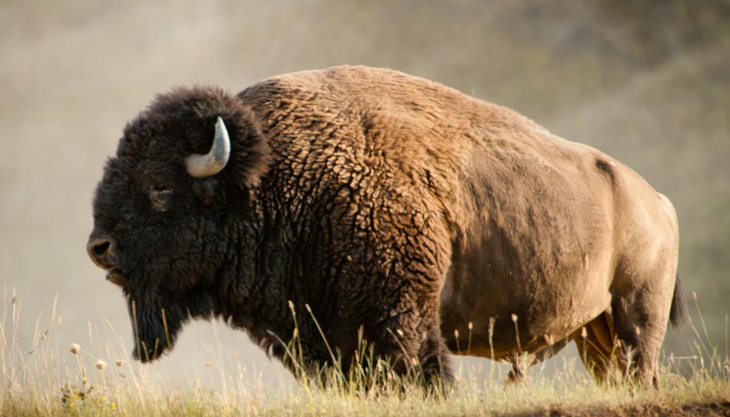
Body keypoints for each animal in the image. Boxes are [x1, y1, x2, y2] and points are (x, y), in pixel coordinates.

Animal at [88, 63, 684, 386]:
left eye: (160, 188)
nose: (100, 247)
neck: (276, 175)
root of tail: (657, 199)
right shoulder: (323, 336)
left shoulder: (399, 320)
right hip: (594, 331)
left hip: (635, 314)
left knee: (641, 365)